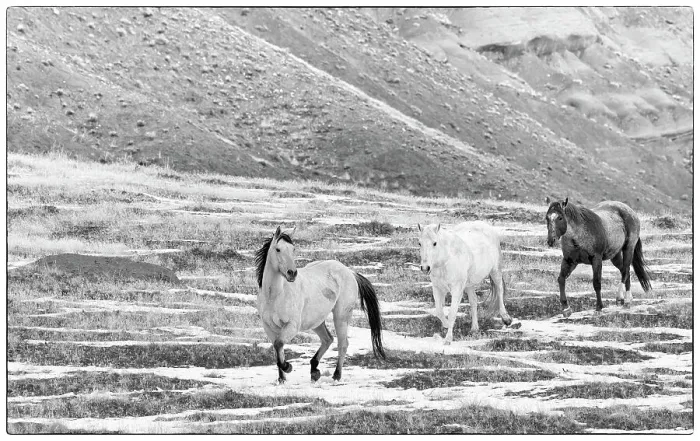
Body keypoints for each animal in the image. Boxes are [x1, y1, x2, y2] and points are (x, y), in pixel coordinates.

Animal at [255, 226, 385, 384]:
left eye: (293, 249)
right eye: (278, 249)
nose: (292, 273)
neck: (275, 295)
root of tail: (350, 272)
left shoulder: (292, 326)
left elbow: (279, 344)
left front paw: (287, 367)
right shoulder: (269, 328)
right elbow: (277, 348)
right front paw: (282, 379)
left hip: (341, 316)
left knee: (342, 344)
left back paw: (336, 375)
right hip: (316, 321)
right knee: (328, 339)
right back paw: (314, 370)